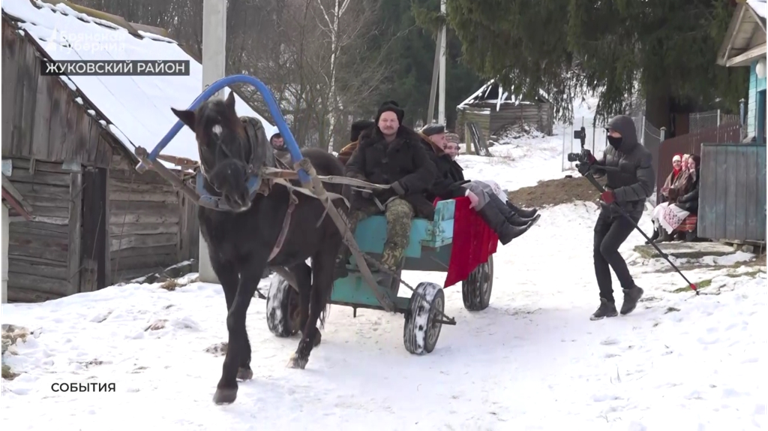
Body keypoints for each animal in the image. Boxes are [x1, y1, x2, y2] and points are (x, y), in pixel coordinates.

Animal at [172, 91, 346, 404]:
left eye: (237, 136)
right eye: (204, 142)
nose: (238, 195)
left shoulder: (254, 262)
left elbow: (235, 315)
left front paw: (227, 382)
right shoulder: (221, 261)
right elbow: (233, 312)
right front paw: (244, 364)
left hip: (327, 248)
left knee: (317, 294)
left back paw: (302, 351)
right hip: (292, 249)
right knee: (304, 279)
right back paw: (308, 332)